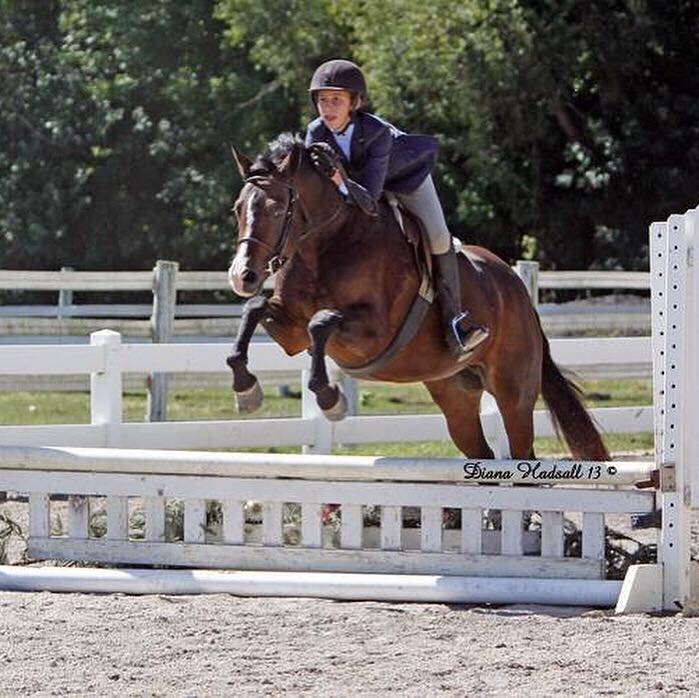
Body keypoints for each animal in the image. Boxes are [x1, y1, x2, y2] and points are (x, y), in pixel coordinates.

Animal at [225, 133, 609, 461]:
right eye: (238, 208)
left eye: (278, 210)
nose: (243, 276)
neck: (325, 245)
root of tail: (520, 293)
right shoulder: (291, 332)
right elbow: (255, 309)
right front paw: (246, 389)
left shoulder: (373, 334)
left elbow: (321, 322)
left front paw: (330, 398)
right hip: (454, 393)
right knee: (481, 452)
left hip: (513, 391)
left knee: (522, 452)